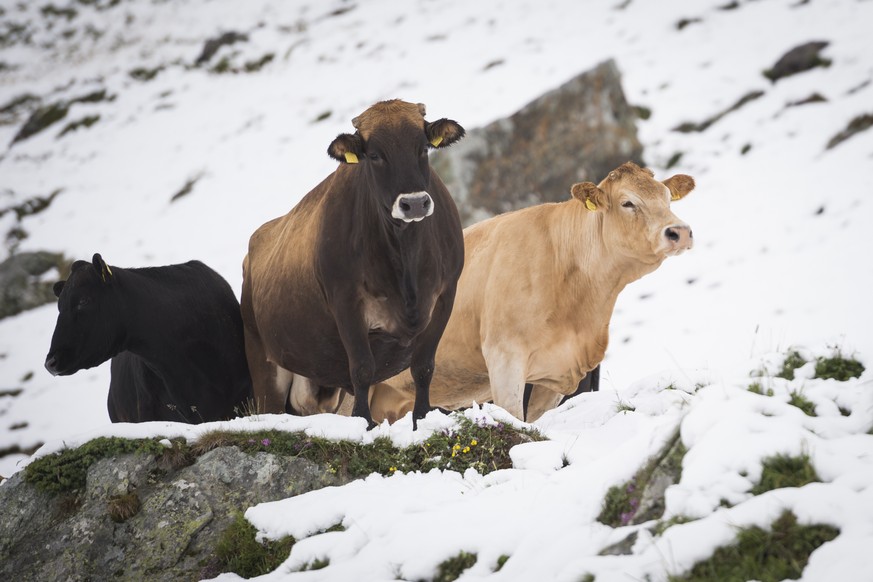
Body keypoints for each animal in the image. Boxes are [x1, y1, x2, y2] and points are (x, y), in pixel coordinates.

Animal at [242, 99, 466, 428]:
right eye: (374, 155)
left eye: (423, 148)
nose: (414, 203)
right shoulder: (346, 301)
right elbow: (361, 368)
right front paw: (364, 424)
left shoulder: (445, 295)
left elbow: (423, 366)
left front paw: (423, 417)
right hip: (264, 360)